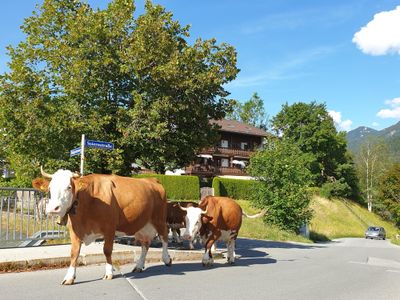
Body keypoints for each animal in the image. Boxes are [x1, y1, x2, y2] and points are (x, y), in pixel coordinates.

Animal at [33, 168, 172, 284]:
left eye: (68, 187)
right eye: (50, 188)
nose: (53, 208)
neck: (88, 199)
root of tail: (152, 180)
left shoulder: (109, 228)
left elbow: (107, 250)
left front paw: (109, 272)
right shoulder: (75, 230)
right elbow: (74, 253)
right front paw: (69, 277)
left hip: (159, 219)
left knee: (164, 236)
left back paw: (166, 259)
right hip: (142, 225)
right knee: (145, 244)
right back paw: (138, 266)